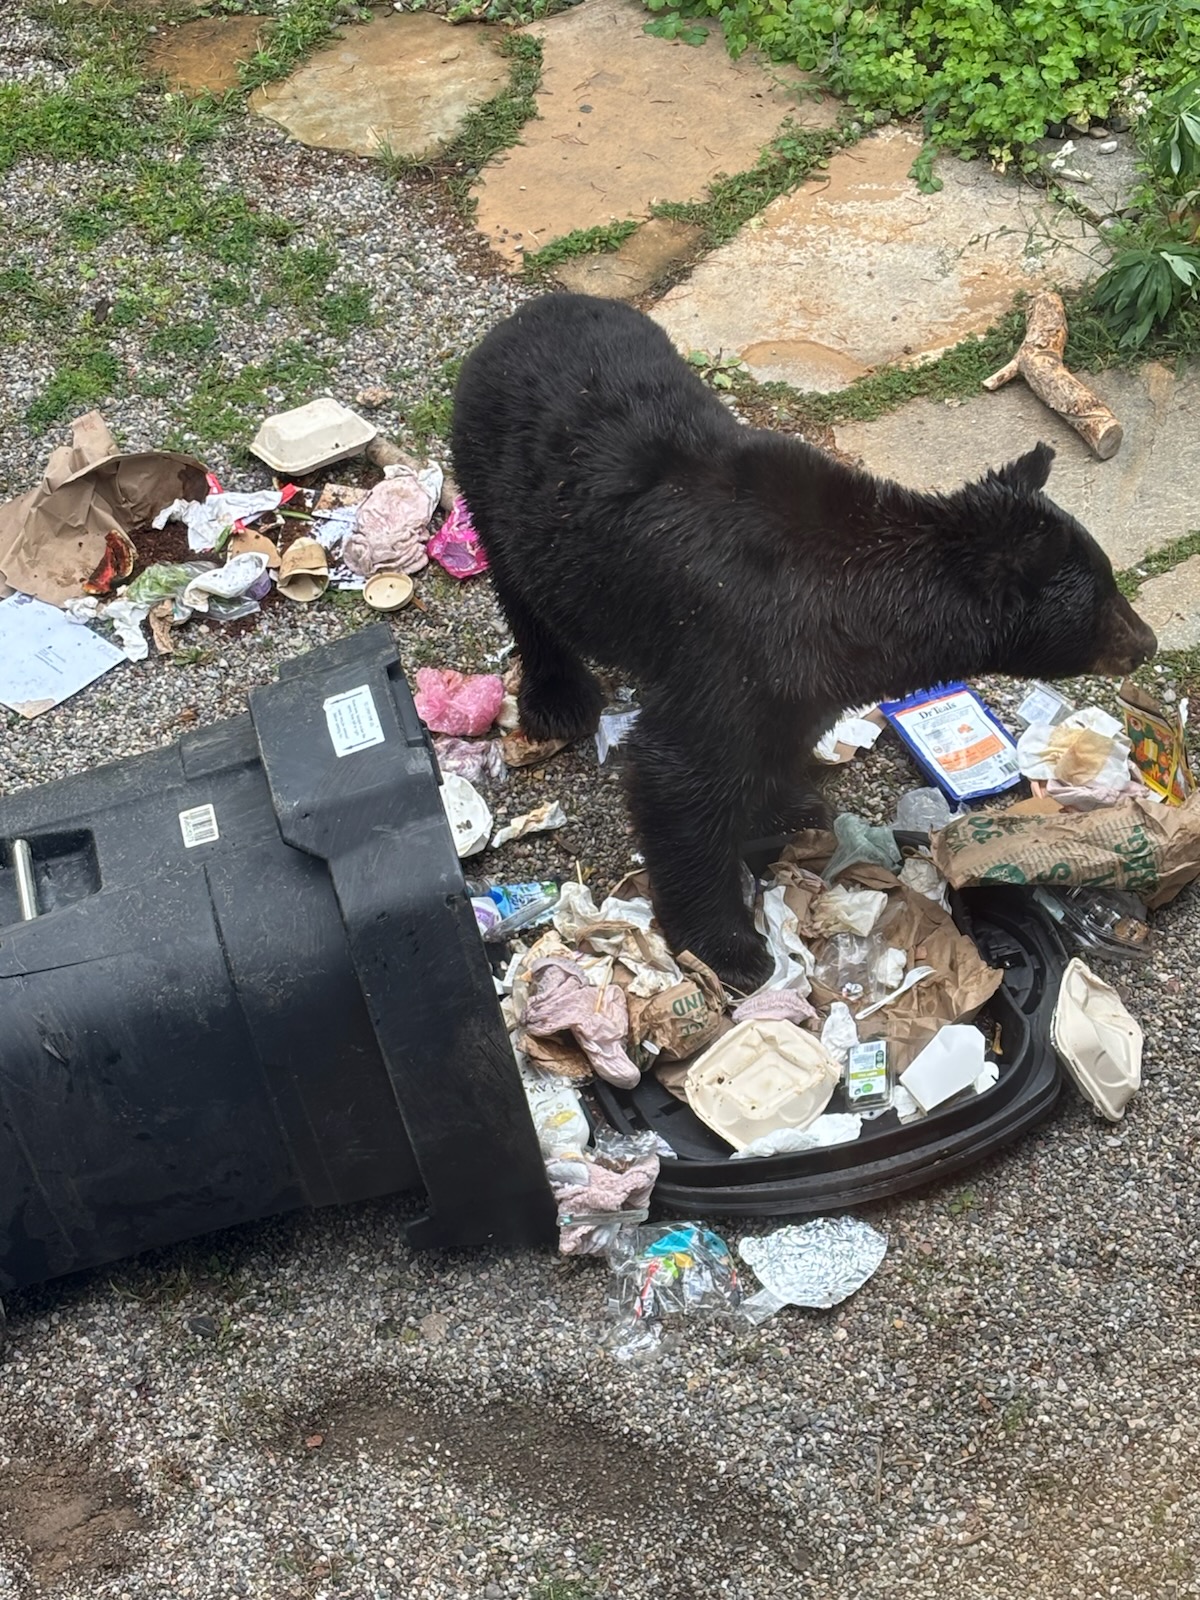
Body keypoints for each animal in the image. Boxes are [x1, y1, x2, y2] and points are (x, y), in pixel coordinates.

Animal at [451, 293, 1157, 991]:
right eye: (1104, 598)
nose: (1146, 642)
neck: (856, 601)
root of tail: (526, 314)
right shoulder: (734, 644)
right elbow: (677, 771)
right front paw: (732, 947)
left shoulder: (806, 670)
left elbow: (780, 737)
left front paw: (787, 808)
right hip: (500, 487)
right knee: (521, 588)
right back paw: (558, 696)